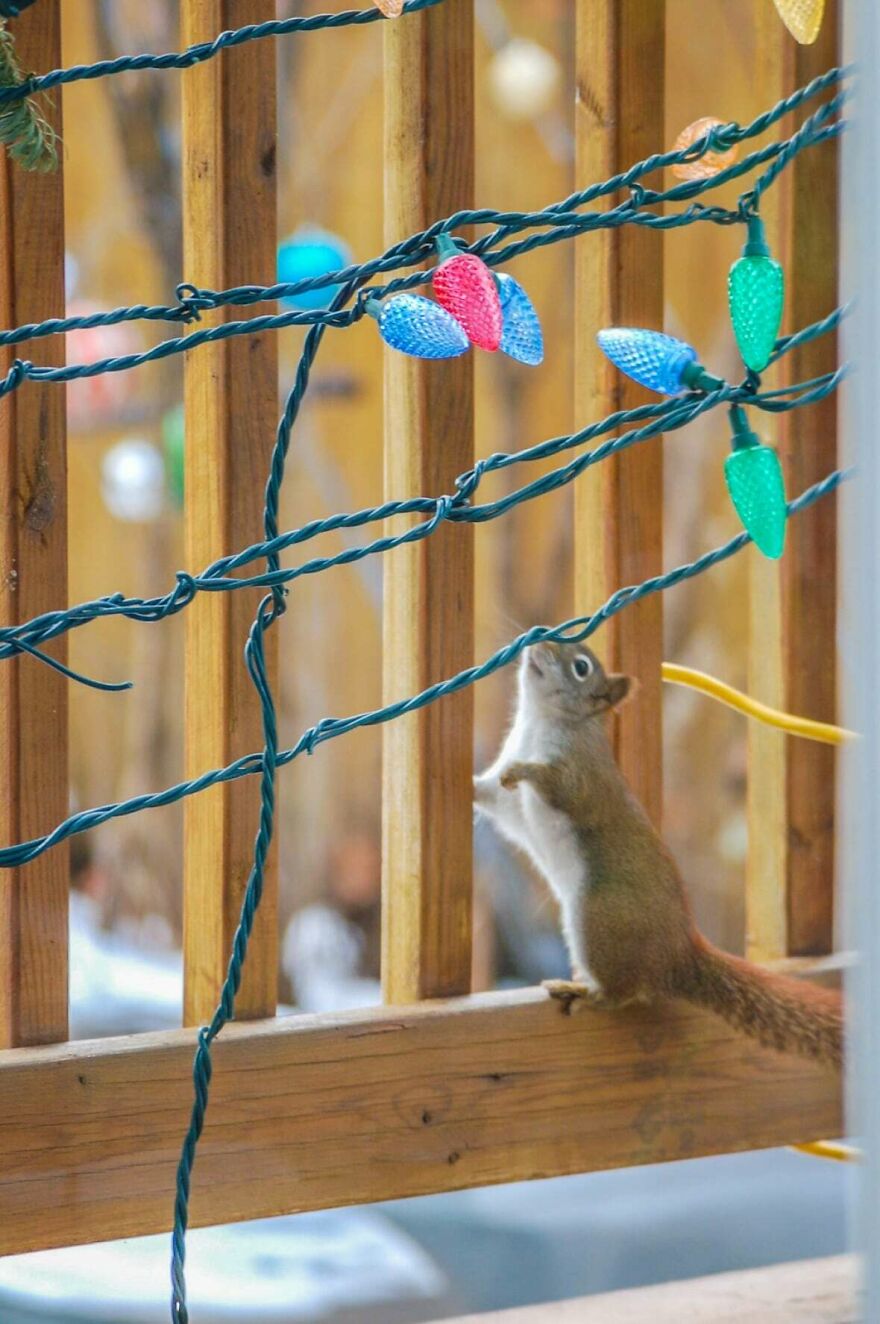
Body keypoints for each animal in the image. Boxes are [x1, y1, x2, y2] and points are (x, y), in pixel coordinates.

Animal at [473, 639, 843, 1070]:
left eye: (582, 667)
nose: (538, 642)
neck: (539, 722)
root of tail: (679, 954)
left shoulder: (582, 773)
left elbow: (562, 788)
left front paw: (524, 770)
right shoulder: (506, 803)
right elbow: (492, 798)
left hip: (600, 918)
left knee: (624, 993)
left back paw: (583, 993)